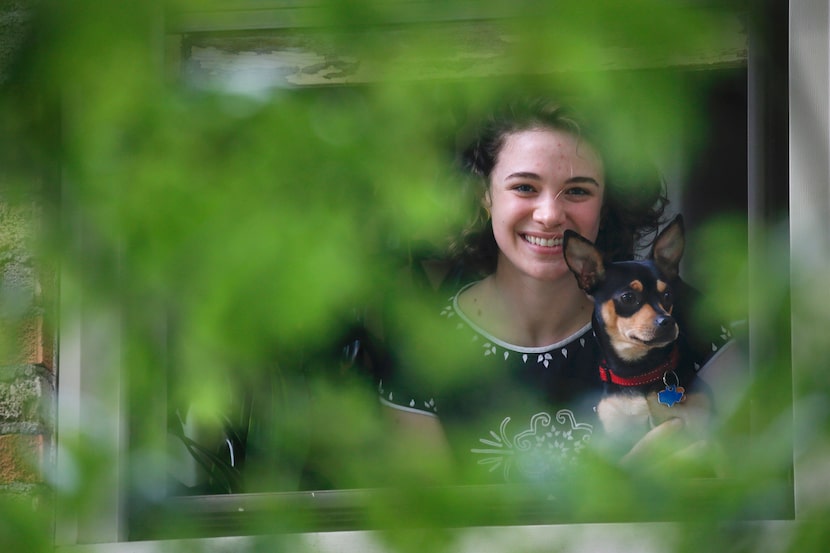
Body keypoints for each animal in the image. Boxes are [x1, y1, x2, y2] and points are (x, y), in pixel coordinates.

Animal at [564, 213, 708, 450]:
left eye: (667, 295)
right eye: (628, 297)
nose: (668, 321)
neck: (639, 373)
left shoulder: (703, 425)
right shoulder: (614, 439)